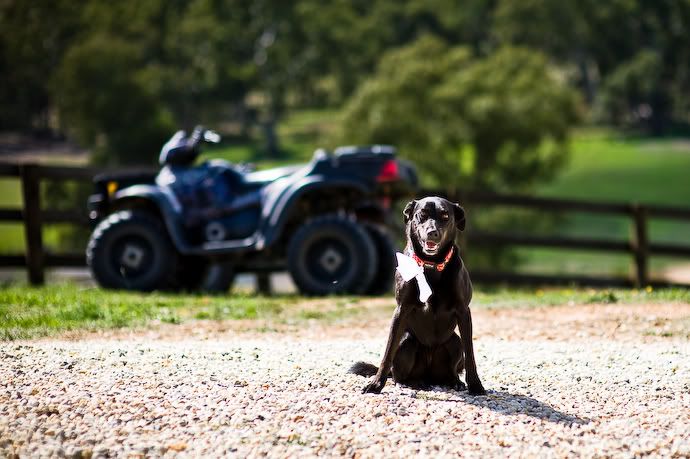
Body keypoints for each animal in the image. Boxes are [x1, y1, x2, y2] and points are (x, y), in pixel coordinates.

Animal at [350, 198, 484, 396]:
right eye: (422, 214)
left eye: (445, 216)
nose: (432, 232)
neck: (431, 265)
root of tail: (428, 376)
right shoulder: (401, 310)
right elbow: (387, 353)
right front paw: (375, 385)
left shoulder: (463, 312)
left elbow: (470, 354)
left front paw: (475, 385)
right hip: (406, 342)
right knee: (398, 374)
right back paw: (411, 383)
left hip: (454, 342)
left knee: (452, 367)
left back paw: (454, 382)